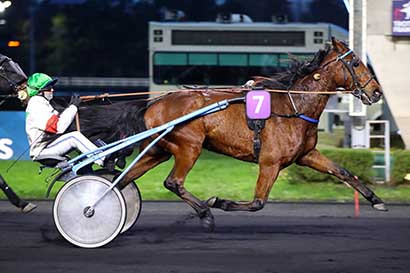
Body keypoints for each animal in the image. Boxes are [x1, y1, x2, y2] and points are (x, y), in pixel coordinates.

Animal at [79, 37, 388, 228]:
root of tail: (154, 103)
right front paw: (220, 202)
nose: (376, 92)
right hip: (189, 146)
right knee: (173, 182)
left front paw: (377, 201)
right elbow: (258, 203)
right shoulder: (270, 162)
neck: (293, 106)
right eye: (356, 63)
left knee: (122, 181)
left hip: (158, 150)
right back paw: (204, 212)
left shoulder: (306, 155)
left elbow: (343, 172)